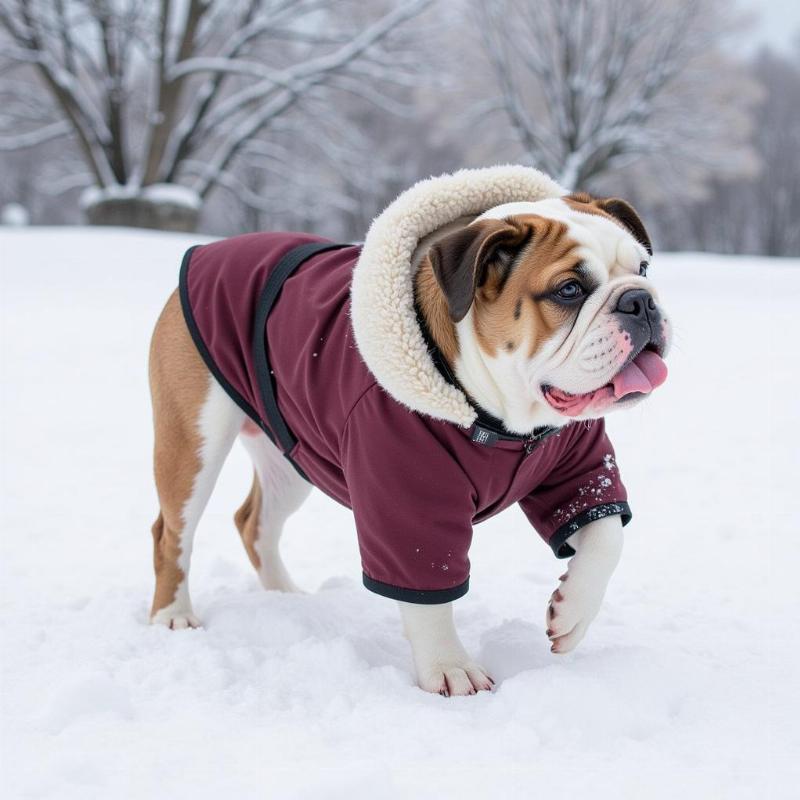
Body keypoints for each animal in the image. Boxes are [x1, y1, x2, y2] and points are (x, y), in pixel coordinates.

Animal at [148, 167, 668, 692]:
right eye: (569, 290)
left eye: (644, 269)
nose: (640, 301)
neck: (506, 421)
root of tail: (210, 249)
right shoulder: (408, 499)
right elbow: (428, 590)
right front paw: (450, 668)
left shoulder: (579, 465)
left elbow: (606, 534)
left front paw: (571, 614)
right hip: (194, 442)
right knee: (172, 531)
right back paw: (173, 615)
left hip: (292, 456)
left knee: (255, 523)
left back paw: (284, 597)